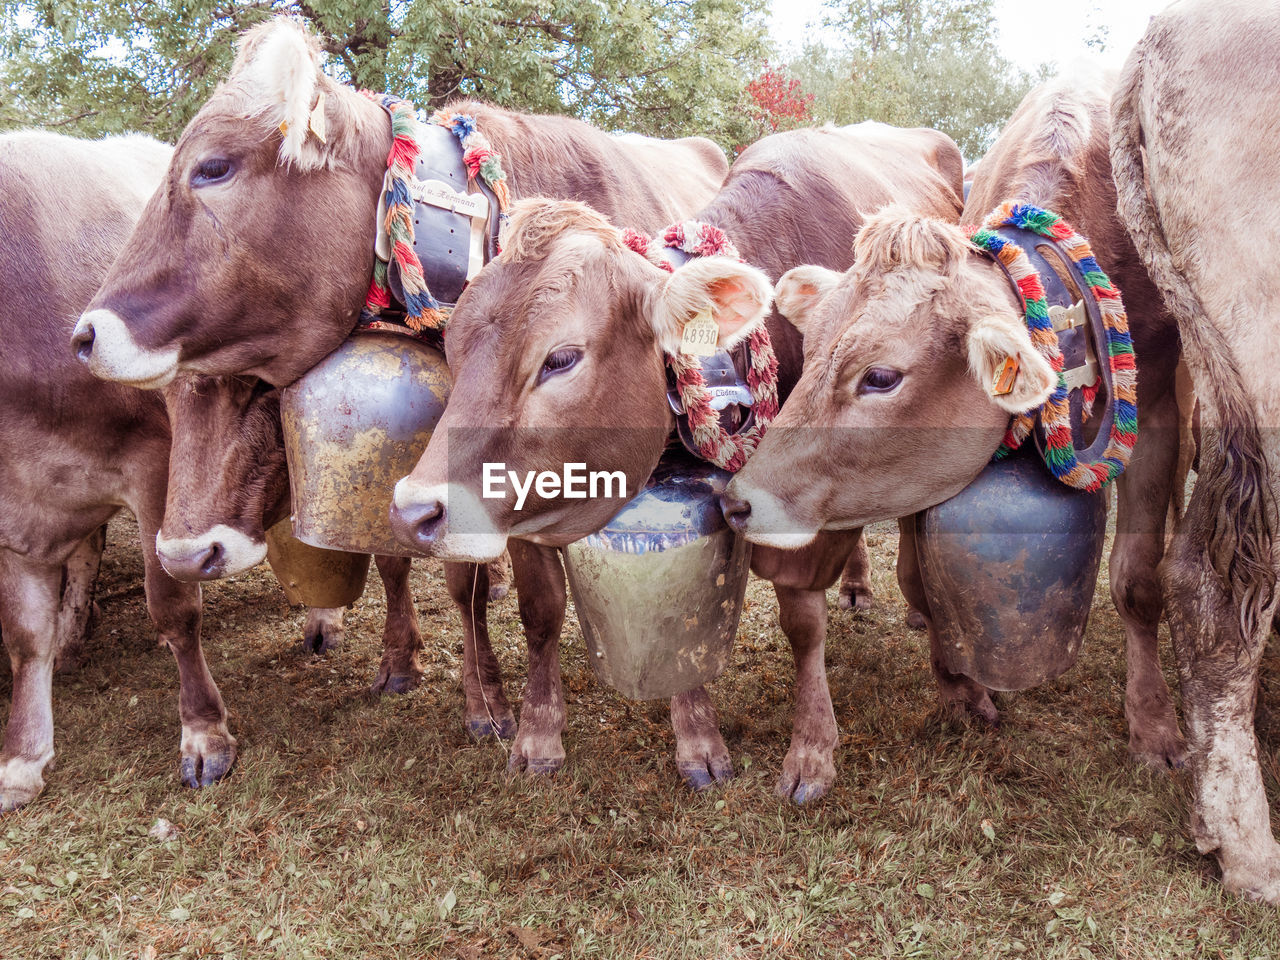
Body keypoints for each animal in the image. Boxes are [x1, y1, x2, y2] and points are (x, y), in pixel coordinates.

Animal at [394, 122, 962, 803]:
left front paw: (807, 751)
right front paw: (541, 736)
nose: (415, 510)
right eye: (452, 348)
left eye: (560, 358)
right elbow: (548, 612)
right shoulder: (529, 505)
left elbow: (798, 621)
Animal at [721, 71, 1187, 768]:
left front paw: (1155, 727)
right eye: (812, 349)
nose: (737, 501)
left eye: (881, 377)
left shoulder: (1156, 410)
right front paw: (959, 685)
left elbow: (1136, 580)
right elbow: (923, 572)